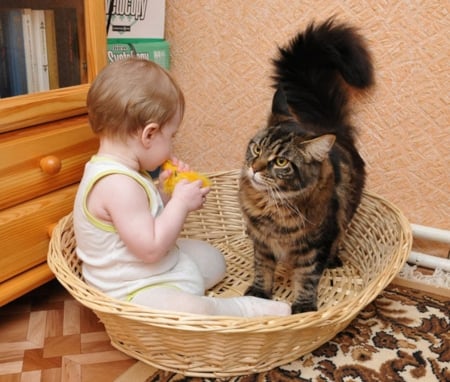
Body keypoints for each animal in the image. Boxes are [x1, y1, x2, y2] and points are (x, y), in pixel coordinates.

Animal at [239, 18, 372, 314]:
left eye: (281, 162)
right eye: (257, 148)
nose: (255, 168)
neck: (273, 209)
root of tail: (329, 127)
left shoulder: (316, 245)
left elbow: (308, 278)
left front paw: (303, 306)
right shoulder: (261, 242)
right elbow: (262, 269)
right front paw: (259, 293)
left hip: (343, 218)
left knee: (336, 244)